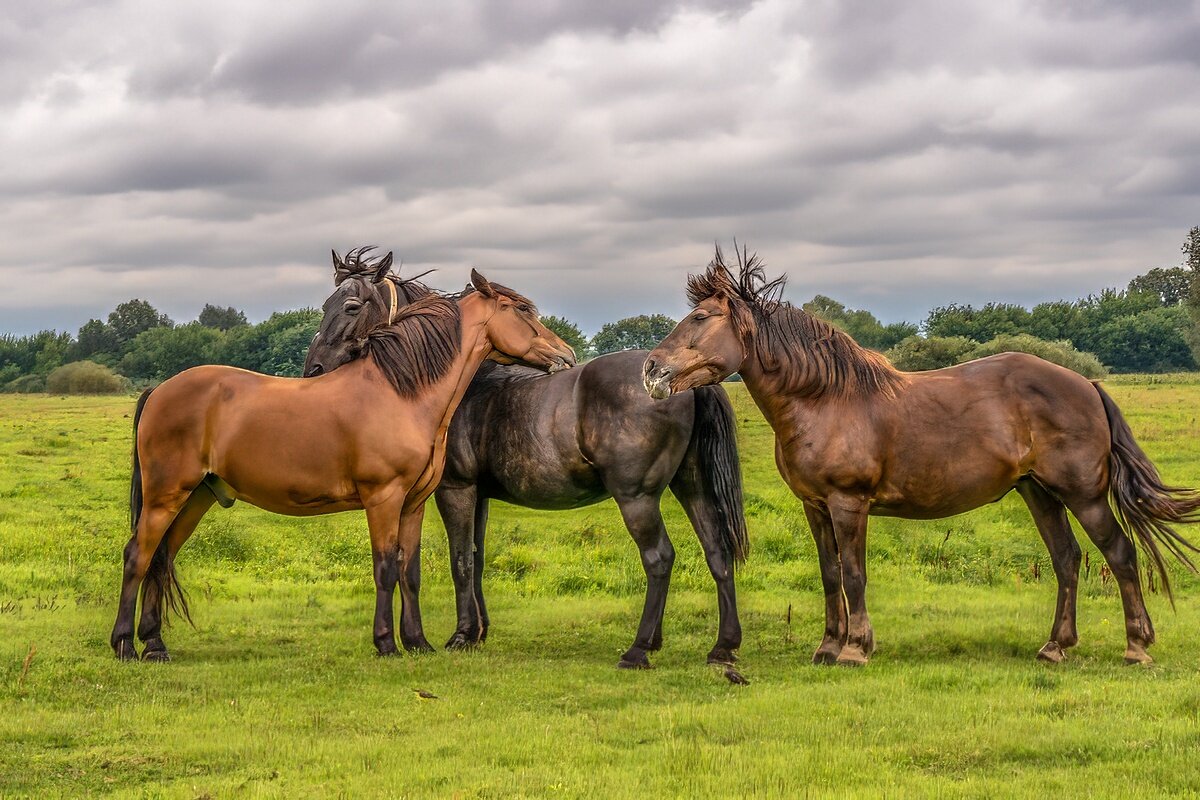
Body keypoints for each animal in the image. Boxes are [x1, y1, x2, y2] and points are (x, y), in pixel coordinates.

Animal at [110, 253, 573, 662]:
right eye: (522, 311)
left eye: (352, 305)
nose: (565, 355)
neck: (400, 392)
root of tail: (160, 390)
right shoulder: (383, 498)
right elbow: (385, 568)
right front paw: (386, 643)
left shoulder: (414, 503)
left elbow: (410, 570)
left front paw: (417, 642)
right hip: (166, 496)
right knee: (138, 556)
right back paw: (125, 645)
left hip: (196, 498)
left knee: (162, 557)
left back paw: (155, 645)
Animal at [304, 248, 744, 671]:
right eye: (326, 304)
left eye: (351, 306)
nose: (314, 369)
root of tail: (681, 381)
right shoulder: (479, 495)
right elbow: (477, 559)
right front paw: (479, 631)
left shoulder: (455, 490)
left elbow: (460, 560)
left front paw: (462, 635)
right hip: (692, 487)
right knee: (717, 553)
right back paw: (721, 647)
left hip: (637, 498)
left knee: (659, 559)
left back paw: (638, 650)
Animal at [648, 245, 1200, 671]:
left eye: (700, 318)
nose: (652, 367)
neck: (825, 400)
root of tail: (1086, 383)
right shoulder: (816, 507)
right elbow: (830, 575)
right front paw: (827, 647)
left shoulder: (849, 504)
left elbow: (854, 574)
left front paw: (855, 649)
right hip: (1039, 493)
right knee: (1067, 560)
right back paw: (1054, 647)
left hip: (1083, 496)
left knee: (1119, 554)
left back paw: (1136, 647)